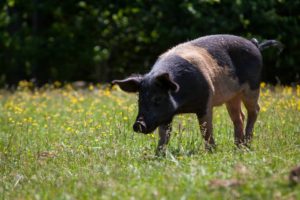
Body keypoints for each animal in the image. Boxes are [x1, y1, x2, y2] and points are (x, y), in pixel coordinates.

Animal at [112, 34, 284, 153]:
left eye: (157, 98)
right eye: (139, 100)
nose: (138, 124)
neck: (182, 105)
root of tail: (254, 44)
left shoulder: (205, 103)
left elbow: (206, 130)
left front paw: (211, 152)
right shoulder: (166, 114)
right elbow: (164, 135)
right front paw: (158, 155)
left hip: (253, 87)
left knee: (254, 110)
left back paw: (246, 145)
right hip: (232, 96)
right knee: (239, 116)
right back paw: (238, 147)